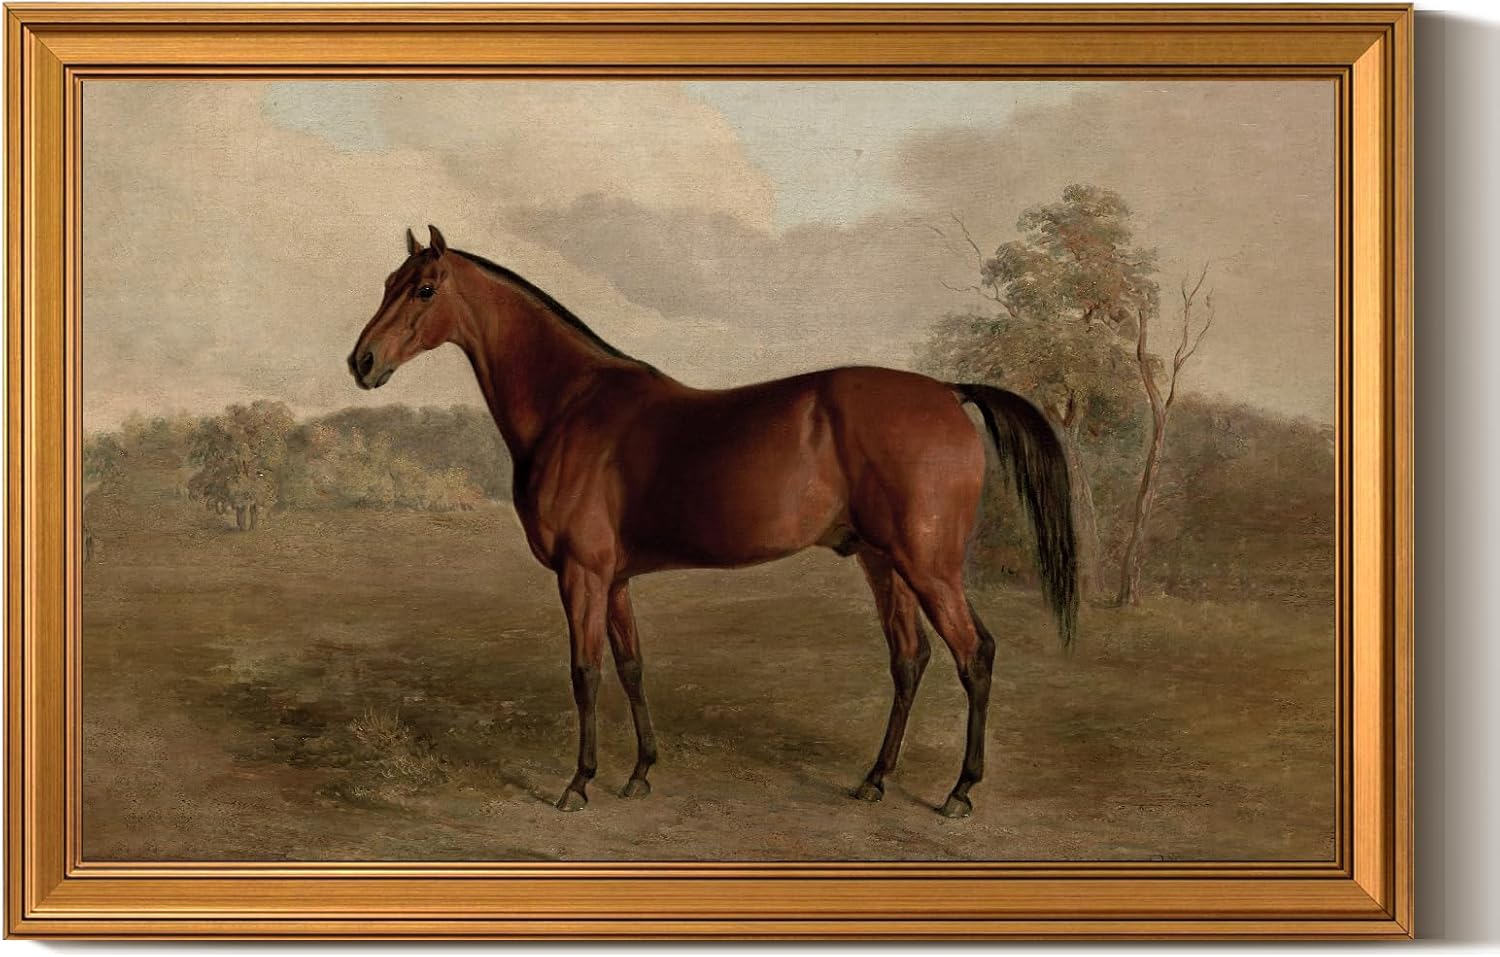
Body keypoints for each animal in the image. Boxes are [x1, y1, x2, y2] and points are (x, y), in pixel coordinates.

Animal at [348, 226, 1078, 819]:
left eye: (423, 288)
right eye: (385, 284)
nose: (362, 362)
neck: (571, 406)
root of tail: (948, 392)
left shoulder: (582, 575)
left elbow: (585, 672)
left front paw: (579, 783)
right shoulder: (614, 580)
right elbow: (631, 665)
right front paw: (640, 773)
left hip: (929, 565)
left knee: (972, 655)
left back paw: (960, 791)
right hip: (885, 561)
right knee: (911, 657)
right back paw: (874, 779)